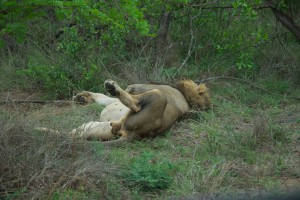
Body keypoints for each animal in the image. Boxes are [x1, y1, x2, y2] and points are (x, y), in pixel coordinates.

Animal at [70, 79, 211, 145]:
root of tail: (135, 135)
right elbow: (101, 97)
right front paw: (82, 97)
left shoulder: (144, 87)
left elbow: (108, 95)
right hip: (96, 128)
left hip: (157, 94)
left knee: (135, 104)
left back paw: (112, 87)